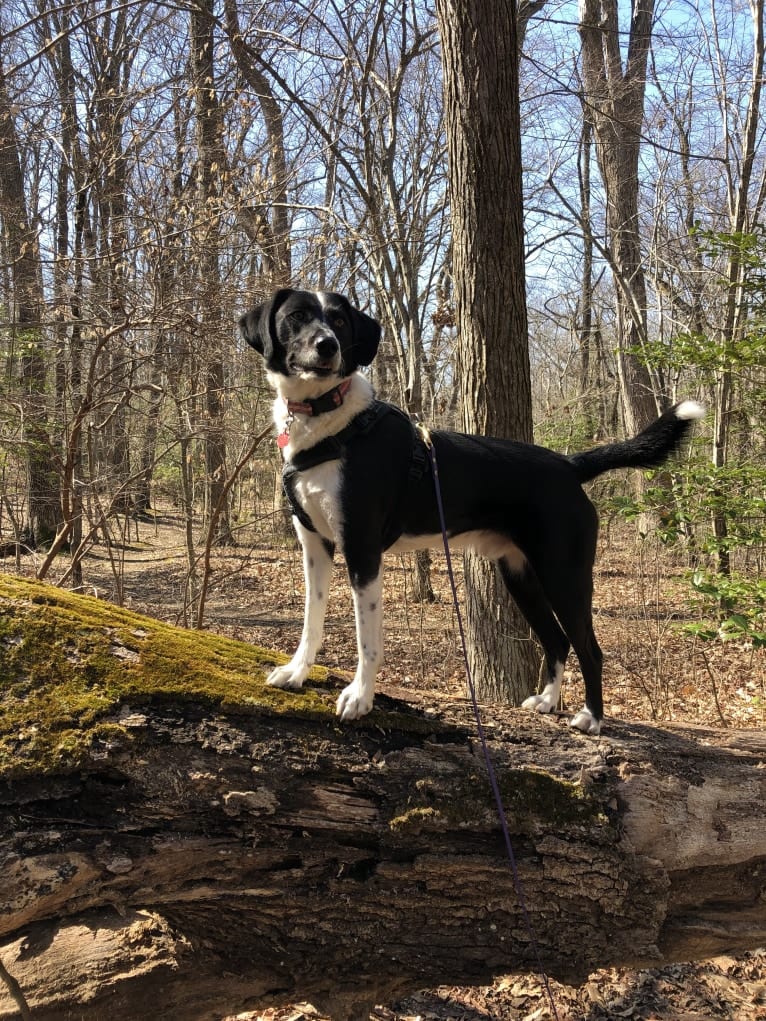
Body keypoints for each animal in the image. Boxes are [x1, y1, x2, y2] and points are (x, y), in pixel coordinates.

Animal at [243, 287, 706, 735]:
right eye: (297, 317)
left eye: (339, 320)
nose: (327, 346)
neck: (328, 422)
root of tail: (569, 465)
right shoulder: (315, 547)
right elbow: (311, 620)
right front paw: (297, 673)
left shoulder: (363, 551)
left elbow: (367, 641)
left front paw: (360, 697)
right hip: (520, 575)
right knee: (557, 640)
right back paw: (547, 702)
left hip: (564, 575)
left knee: (589, 647)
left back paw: (592, 717)